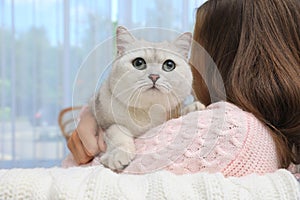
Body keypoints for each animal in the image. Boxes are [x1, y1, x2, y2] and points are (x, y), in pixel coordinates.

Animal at [89, 26, 204, 170]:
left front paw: (193, 107)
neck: (147, 111)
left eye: (169, 65)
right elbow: (117, 130)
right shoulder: (104, 123)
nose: (154, 76)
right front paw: (118, 154)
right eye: (139, 63)